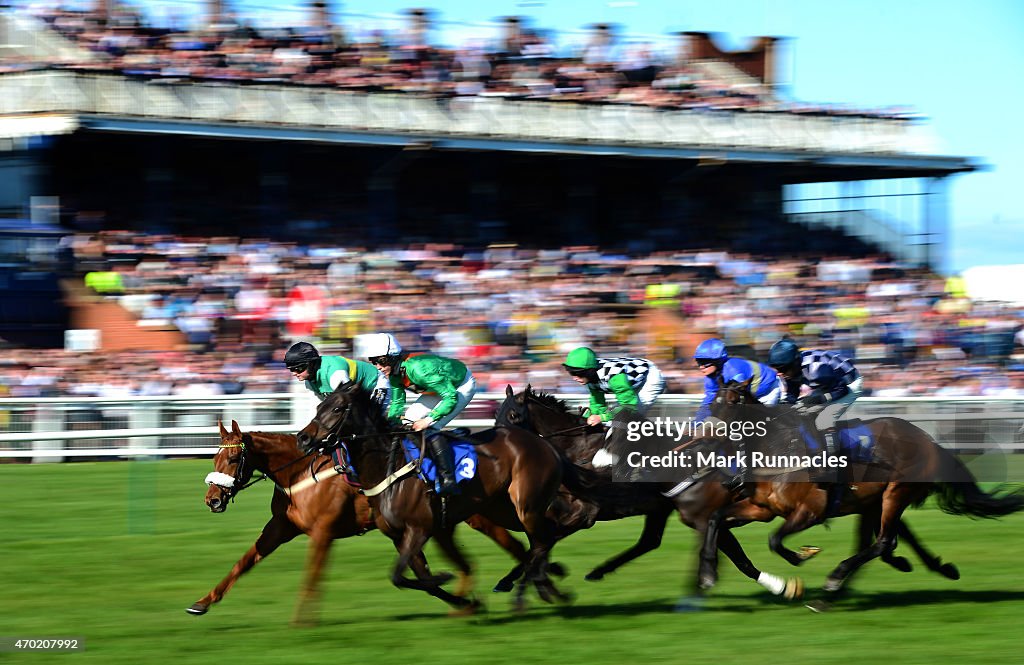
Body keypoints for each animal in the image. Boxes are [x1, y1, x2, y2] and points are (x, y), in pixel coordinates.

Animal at [194, 420, 536, 622]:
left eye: (234, 458)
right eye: (214, 457)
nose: (212, 500)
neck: (300, 472)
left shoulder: (323, 531)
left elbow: (312, 575)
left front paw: (303, 619)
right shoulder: (281, 526)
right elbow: (244, 562)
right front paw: (203, 601)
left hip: (479, 514)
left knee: (517, 543)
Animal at [296, 381, 573, 614]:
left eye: (337, 408)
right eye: (319, 406)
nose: (303, 437)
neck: (388, 467)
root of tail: (545, 444)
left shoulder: (420, 529)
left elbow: (401, 576)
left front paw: (446, 578)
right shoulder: (400, 536)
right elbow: (418, 579)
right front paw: (466, 601)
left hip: (526, 506)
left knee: (542, 539)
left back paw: (530, 592)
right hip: (505, 510)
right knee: (541, 539)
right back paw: (547, 585)